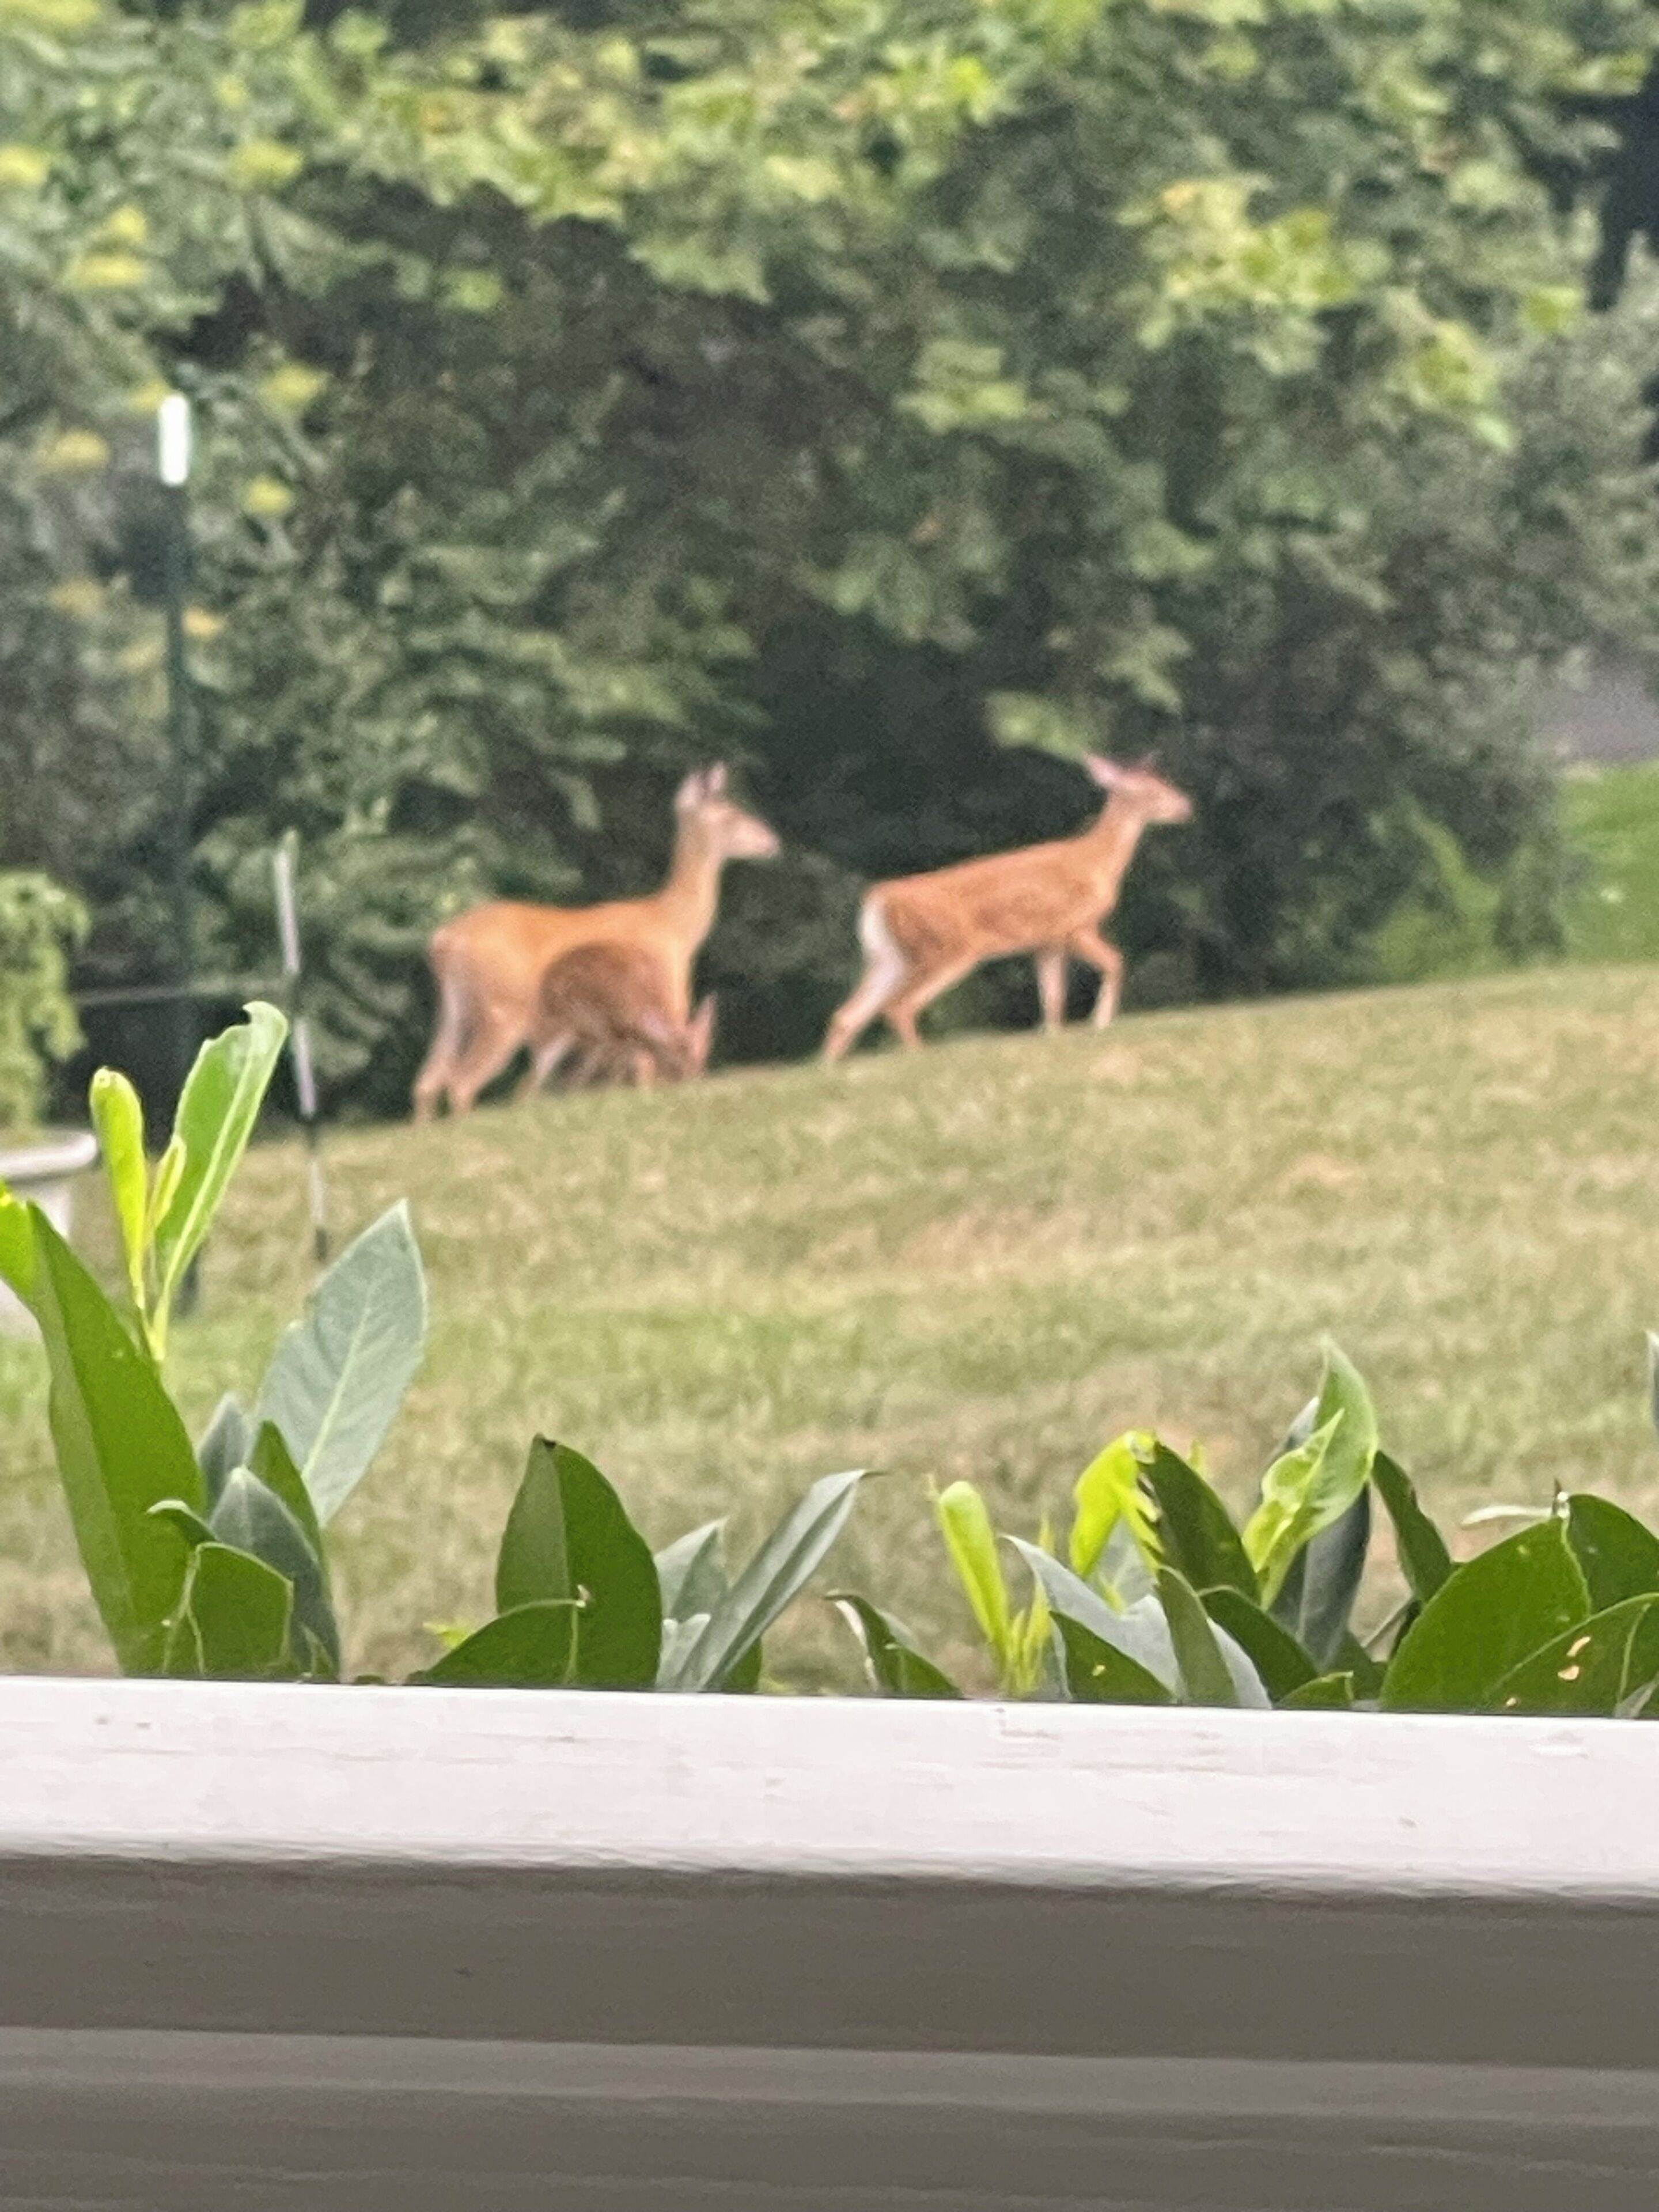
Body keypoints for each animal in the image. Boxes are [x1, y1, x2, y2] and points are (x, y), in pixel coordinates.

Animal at [413, 765, 777, 1120]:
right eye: (730, 814)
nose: (771, 841)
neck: (674, 926)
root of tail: (444, 940)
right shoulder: (667, 1004)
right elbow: (646, 1076)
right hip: (504, 1010)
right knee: (462, 1081)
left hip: (453, 1012)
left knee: (428, 1081)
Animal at [823, 754, 1192, 1062]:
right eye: (1151, 790)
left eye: (1166, 783)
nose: (1186, 807)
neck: (1096, 863)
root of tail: (880, 897)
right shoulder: (1074, 925)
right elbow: (1116, 962)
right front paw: (1099, 1022)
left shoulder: (1046, 941)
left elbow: (1052, 999)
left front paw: (1055, 1036)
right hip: (946, 947)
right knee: (898, 1006)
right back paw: (921, 1058)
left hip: (890, 957)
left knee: (848, 1014)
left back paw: (831, 1070)